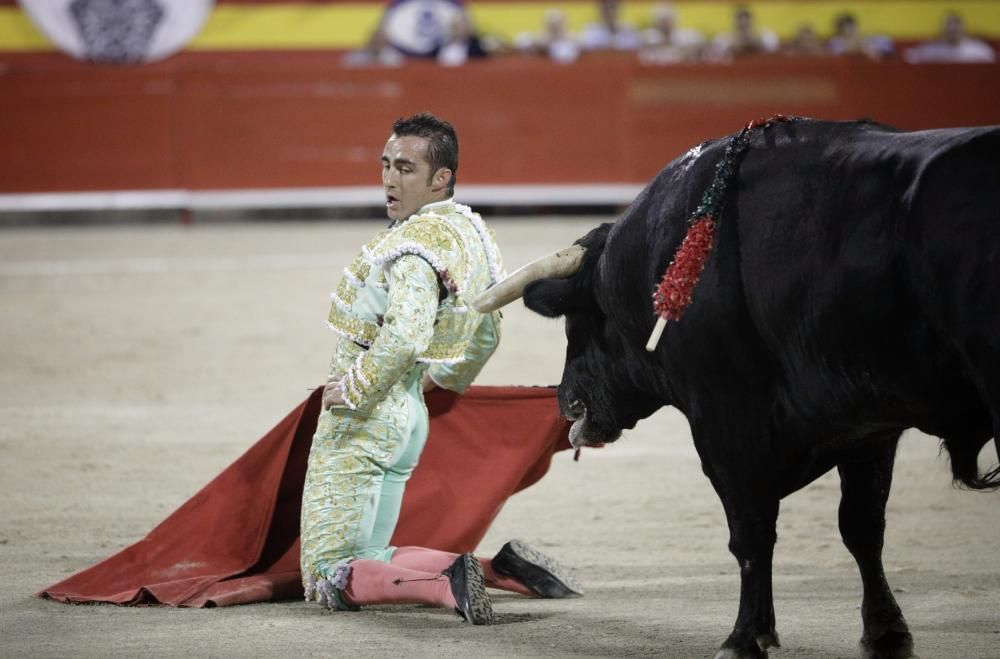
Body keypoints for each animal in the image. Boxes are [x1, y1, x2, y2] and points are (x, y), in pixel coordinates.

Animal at [520, 120, 996, 659]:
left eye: (575, 322)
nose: (564, 398)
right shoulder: (867, 426)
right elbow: (862, 526)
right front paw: (886, 632)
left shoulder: (725, 424)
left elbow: (750, 531)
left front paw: (744, 636)